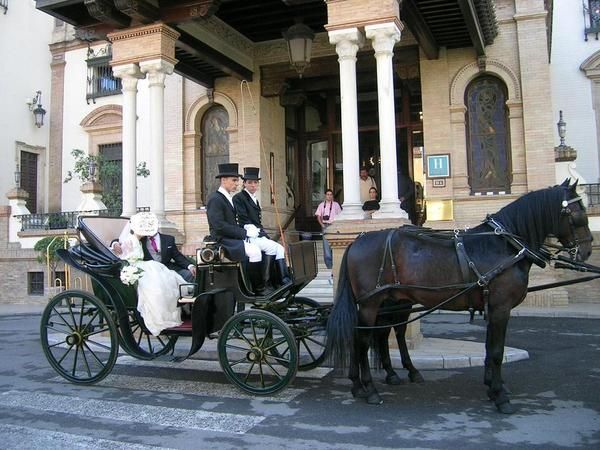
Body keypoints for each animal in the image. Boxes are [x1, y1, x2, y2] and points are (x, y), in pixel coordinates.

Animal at [326, 181, 592, 414]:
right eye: (579, 214)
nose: (587, 250)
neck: (506, 245)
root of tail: (357, 240)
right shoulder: (501, 308)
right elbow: (496, 351)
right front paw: (500, 396)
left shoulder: (493, 307)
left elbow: (489, 348)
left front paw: (492, 387)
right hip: (370, 303)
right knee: (362, 339)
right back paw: (369, 389)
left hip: (389, 300)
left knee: (376, 334)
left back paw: (364, 383)